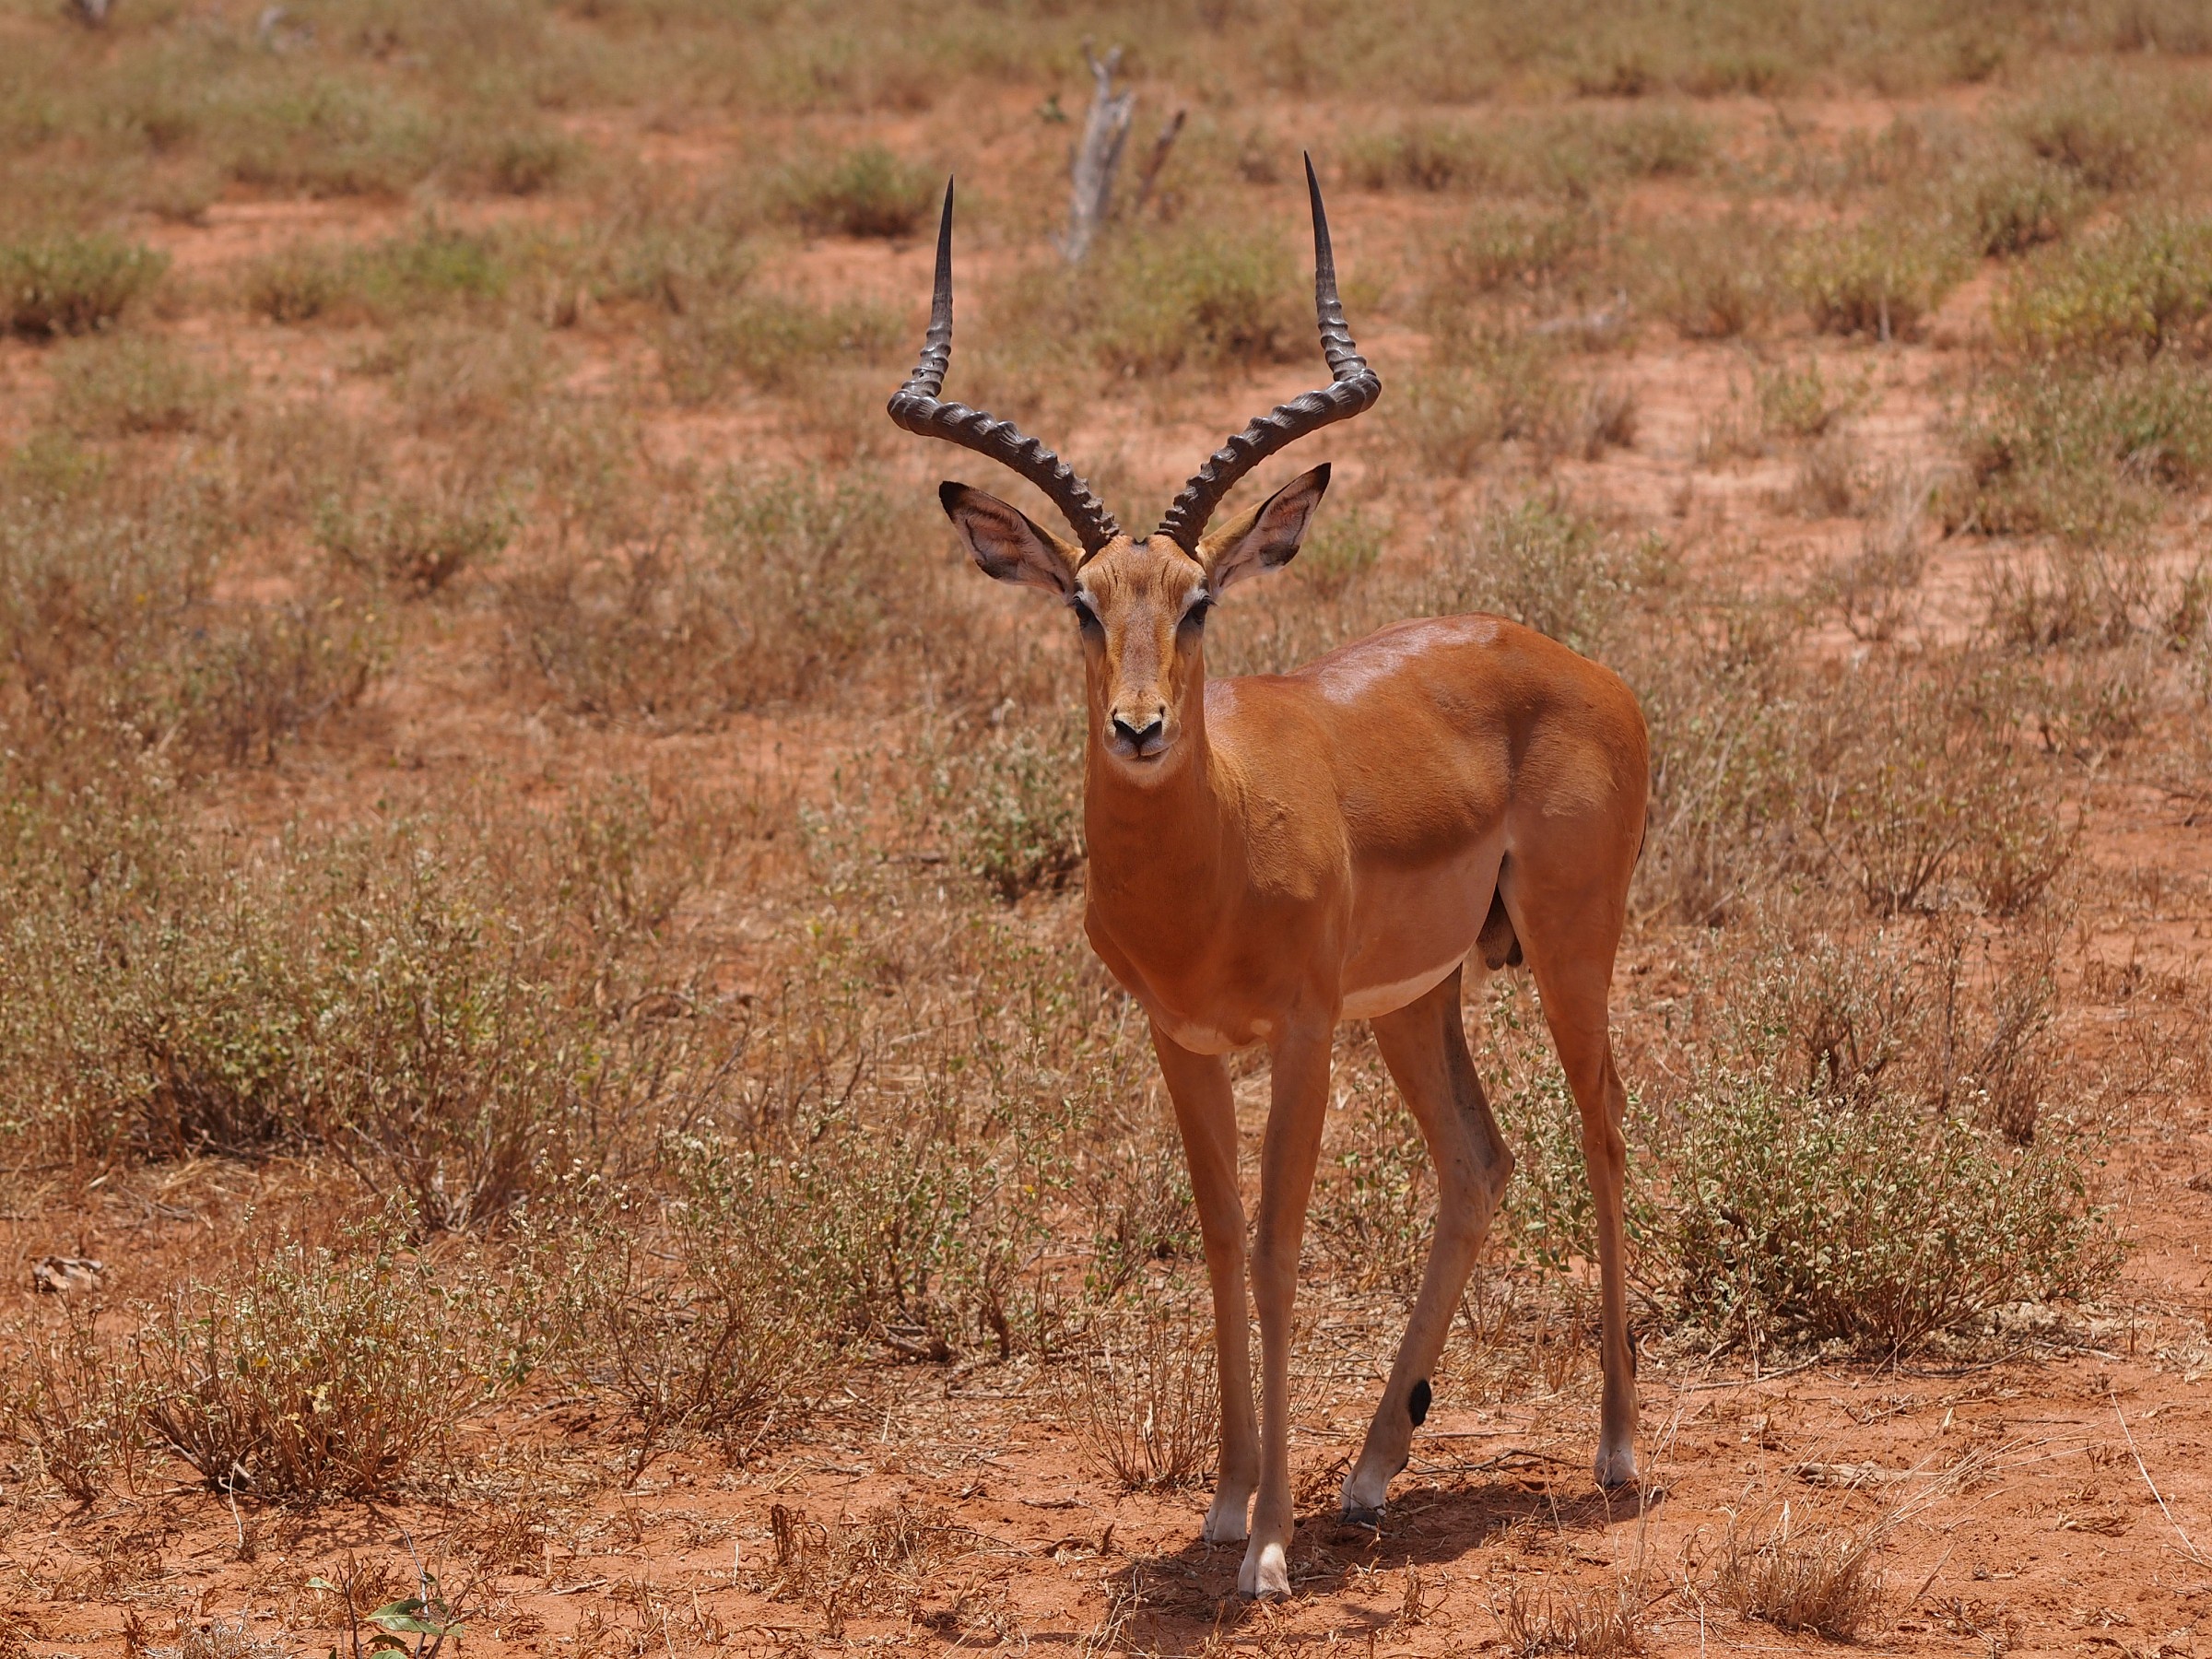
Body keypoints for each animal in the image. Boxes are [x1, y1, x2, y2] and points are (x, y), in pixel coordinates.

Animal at [887, 159, 1649, 1599]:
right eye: (1082, 602)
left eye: (1198, 602)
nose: (1138, 729)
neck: (1217, 857)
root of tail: (1577, 665)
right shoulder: (1180, 1041)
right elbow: (1220, 1242)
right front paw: (1232, 1505)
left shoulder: (1298, 1036)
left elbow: (1283, 1249)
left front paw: (1272, 1552)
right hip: (1416, 1003)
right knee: (1478, 1164)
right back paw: (1371, 1474)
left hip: (1569, 957)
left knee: (1604, 1132)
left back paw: (1618, 1457)